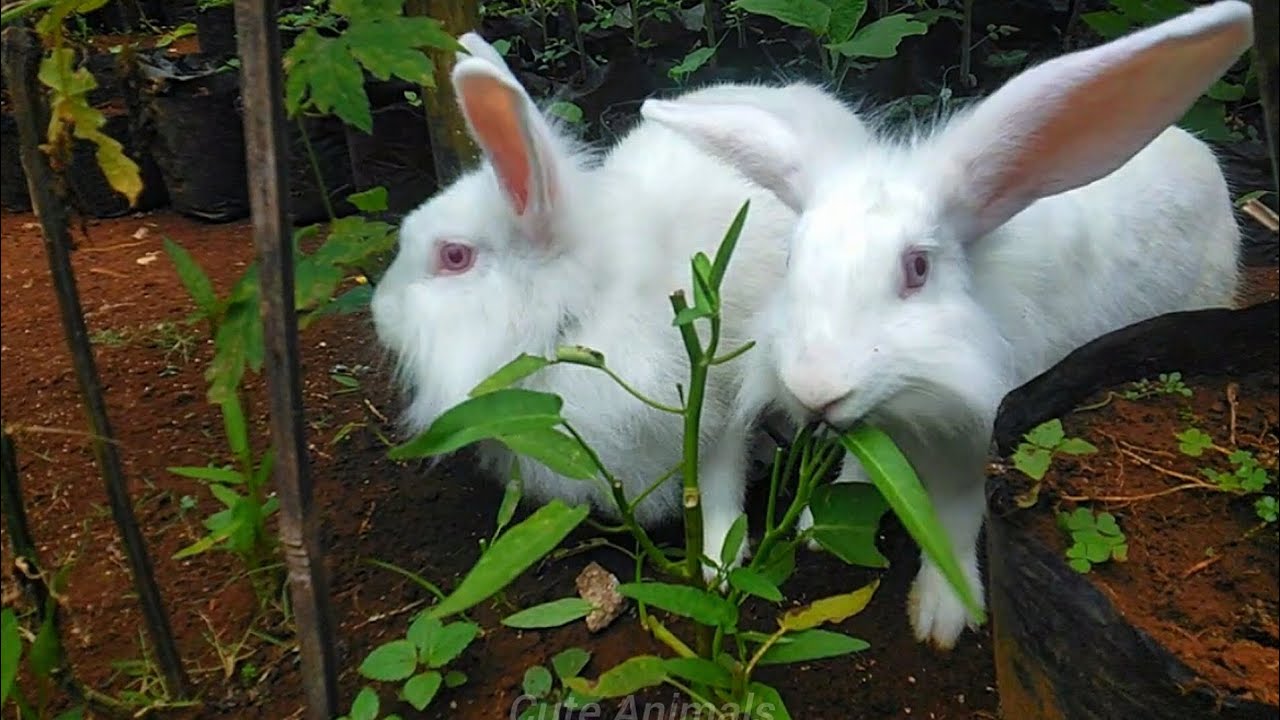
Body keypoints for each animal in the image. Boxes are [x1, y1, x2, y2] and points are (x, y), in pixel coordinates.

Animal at [370, 32, 873, 580]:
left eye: (454, 256)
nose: (380, 313)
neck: (585, 306)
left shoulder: (720, 392)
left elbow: (718, 477)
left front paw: (718, 562)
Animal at [639, 0, 1252, 646]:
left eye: (917, 268)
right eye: (791, 259)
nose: (814, 390)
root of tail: (1195, 149)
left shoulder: (975, 448)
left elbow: (954, 523)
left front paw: (942, 616)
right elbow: (858, 470)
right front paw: (818, 525)